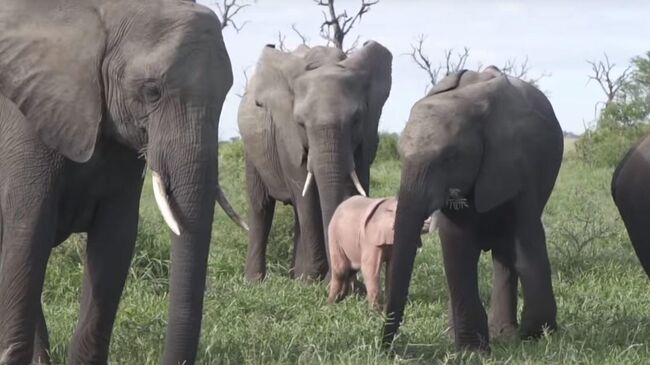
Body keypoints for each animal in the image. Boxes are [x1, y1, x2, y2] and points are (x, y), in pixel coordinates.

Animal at [0, 1, 246, 362]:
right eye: (151, 91)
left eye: (226, 93)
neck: (105, 14)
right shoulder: (24, 123)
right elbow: (28, 231)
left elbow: (114, 240)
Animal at [237, 41, 390, 280]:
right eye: (300, 123)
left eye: (356, 119)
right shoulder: (286, 135)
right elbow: (305, 194)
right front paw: (312, 279)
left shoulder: (366, 135)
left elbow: (354, 187)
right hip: (251, 149)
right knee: (261, 206)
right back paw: (257, 282)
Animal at [382, 67, 560, 352]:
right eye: (399, 155)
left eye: (450, 157)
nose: (387, 349)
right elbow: (457, 247)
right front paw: (472, 351)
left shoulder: (519, 164)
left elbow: (527, 241)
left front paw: (537, 335)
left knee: (508, 251)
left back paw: (506, 334)